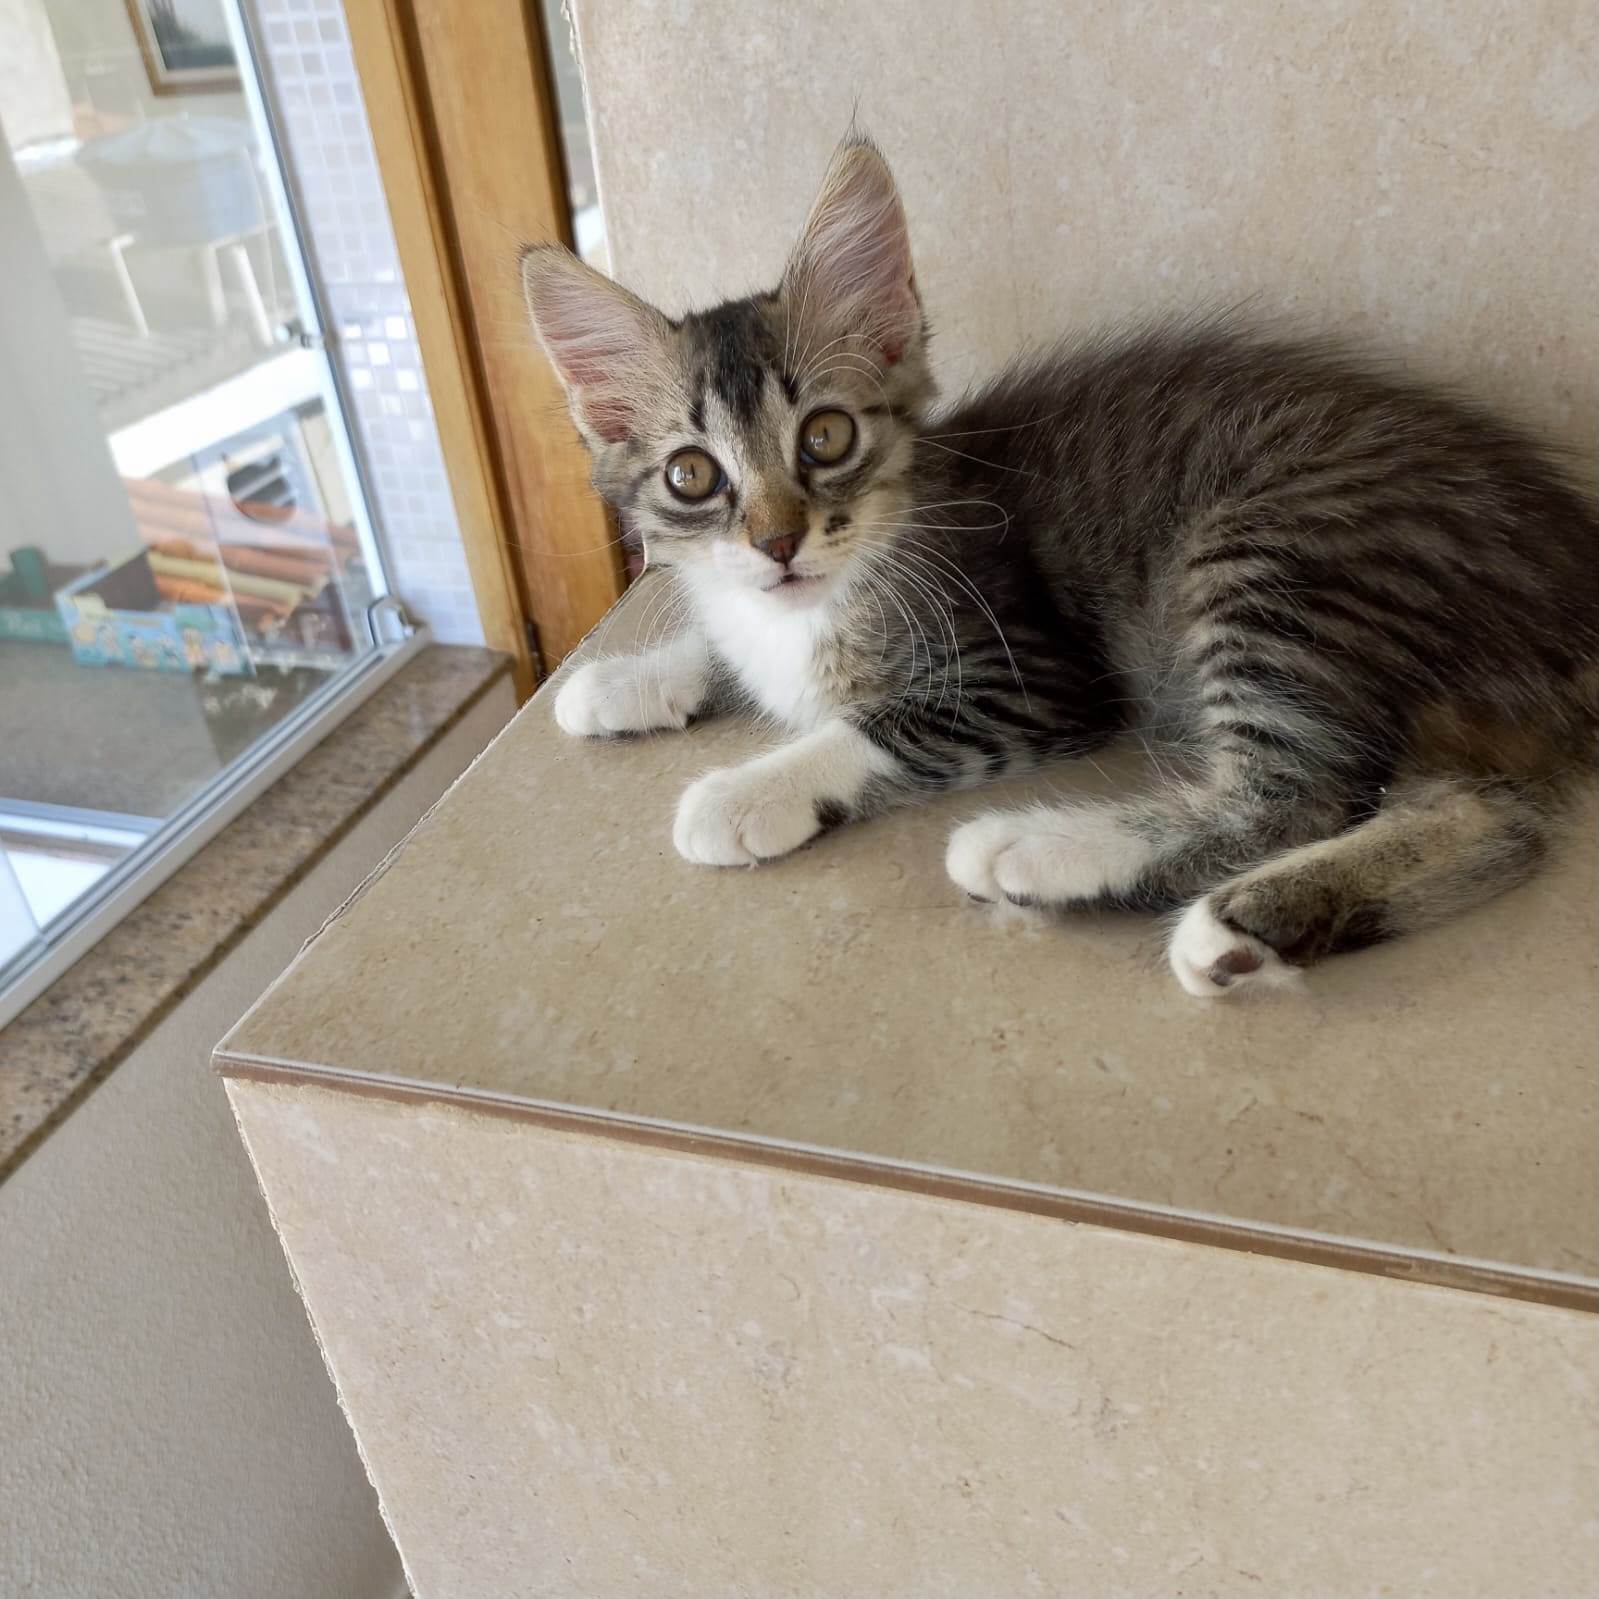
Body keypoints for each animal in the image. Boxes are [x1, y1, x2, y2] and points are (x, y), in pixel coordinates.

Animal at [521, 136, 1599, 998]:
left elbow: (867, 726)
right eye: (692, 475)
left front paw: (743, 793)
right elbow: (726, 643)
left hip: (1280, 556)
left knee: (1303, 791)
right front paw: (626, 679)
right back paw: (1250, 933)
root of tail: (1574, 565)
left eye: (825, 437)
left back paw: (1050, 854)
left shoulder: (1032, 675)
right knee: (1494, 820)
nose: (779, 541)